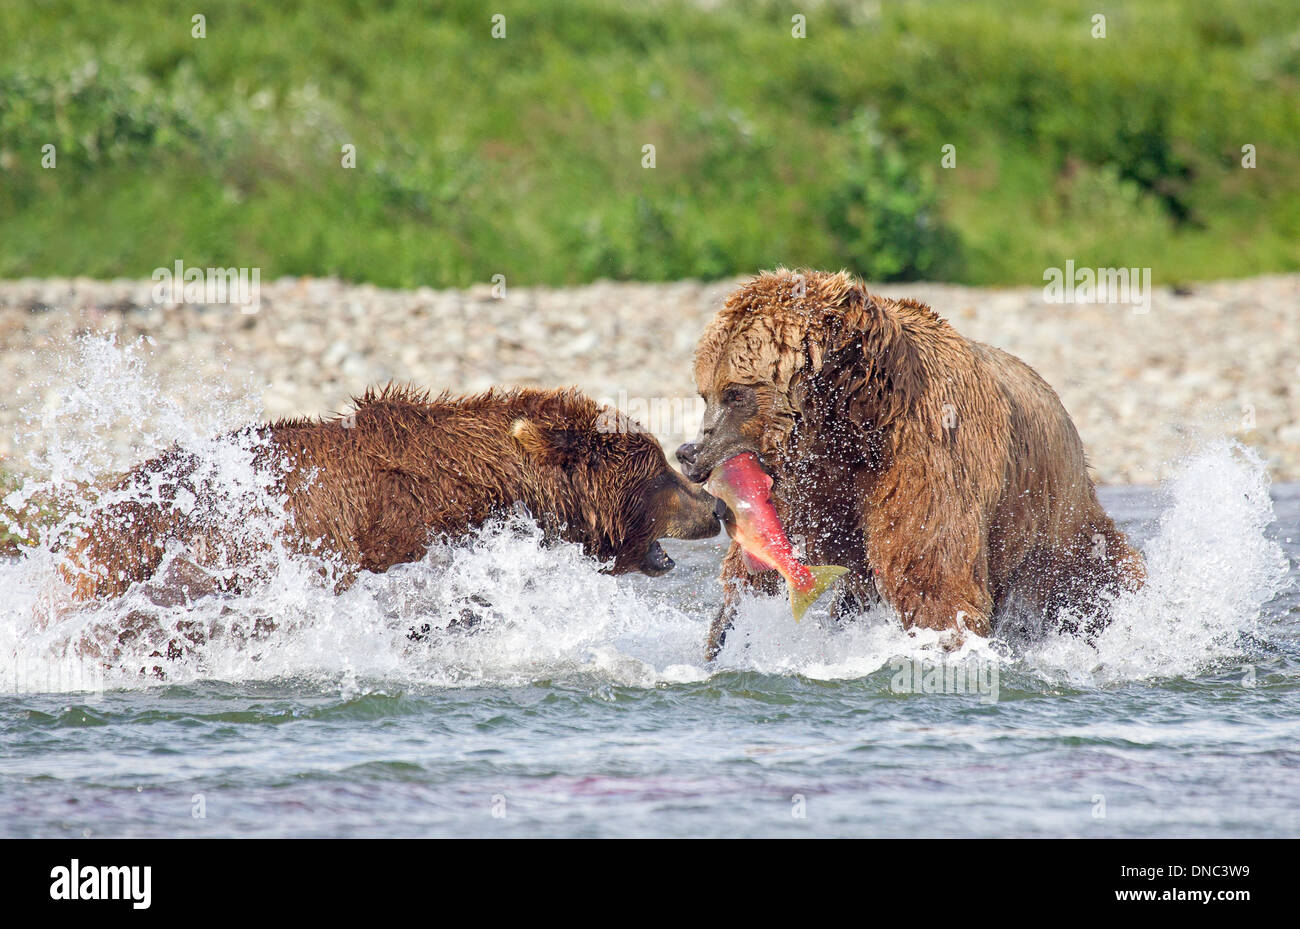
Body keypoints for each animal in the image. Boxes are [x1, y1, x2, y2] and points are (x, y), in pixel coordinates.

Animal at [676, 268, 1144, 662]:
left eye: (735, 393)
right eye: (705, 393)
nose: (689, 453)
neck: (853, 429)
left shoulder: (926, 457)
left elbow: (931, 570)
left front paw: (944, 641)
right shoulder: (808, 487)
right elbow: (758, 567)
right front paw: (725, 635)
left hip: (1055, 518)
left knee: (1095, 574)